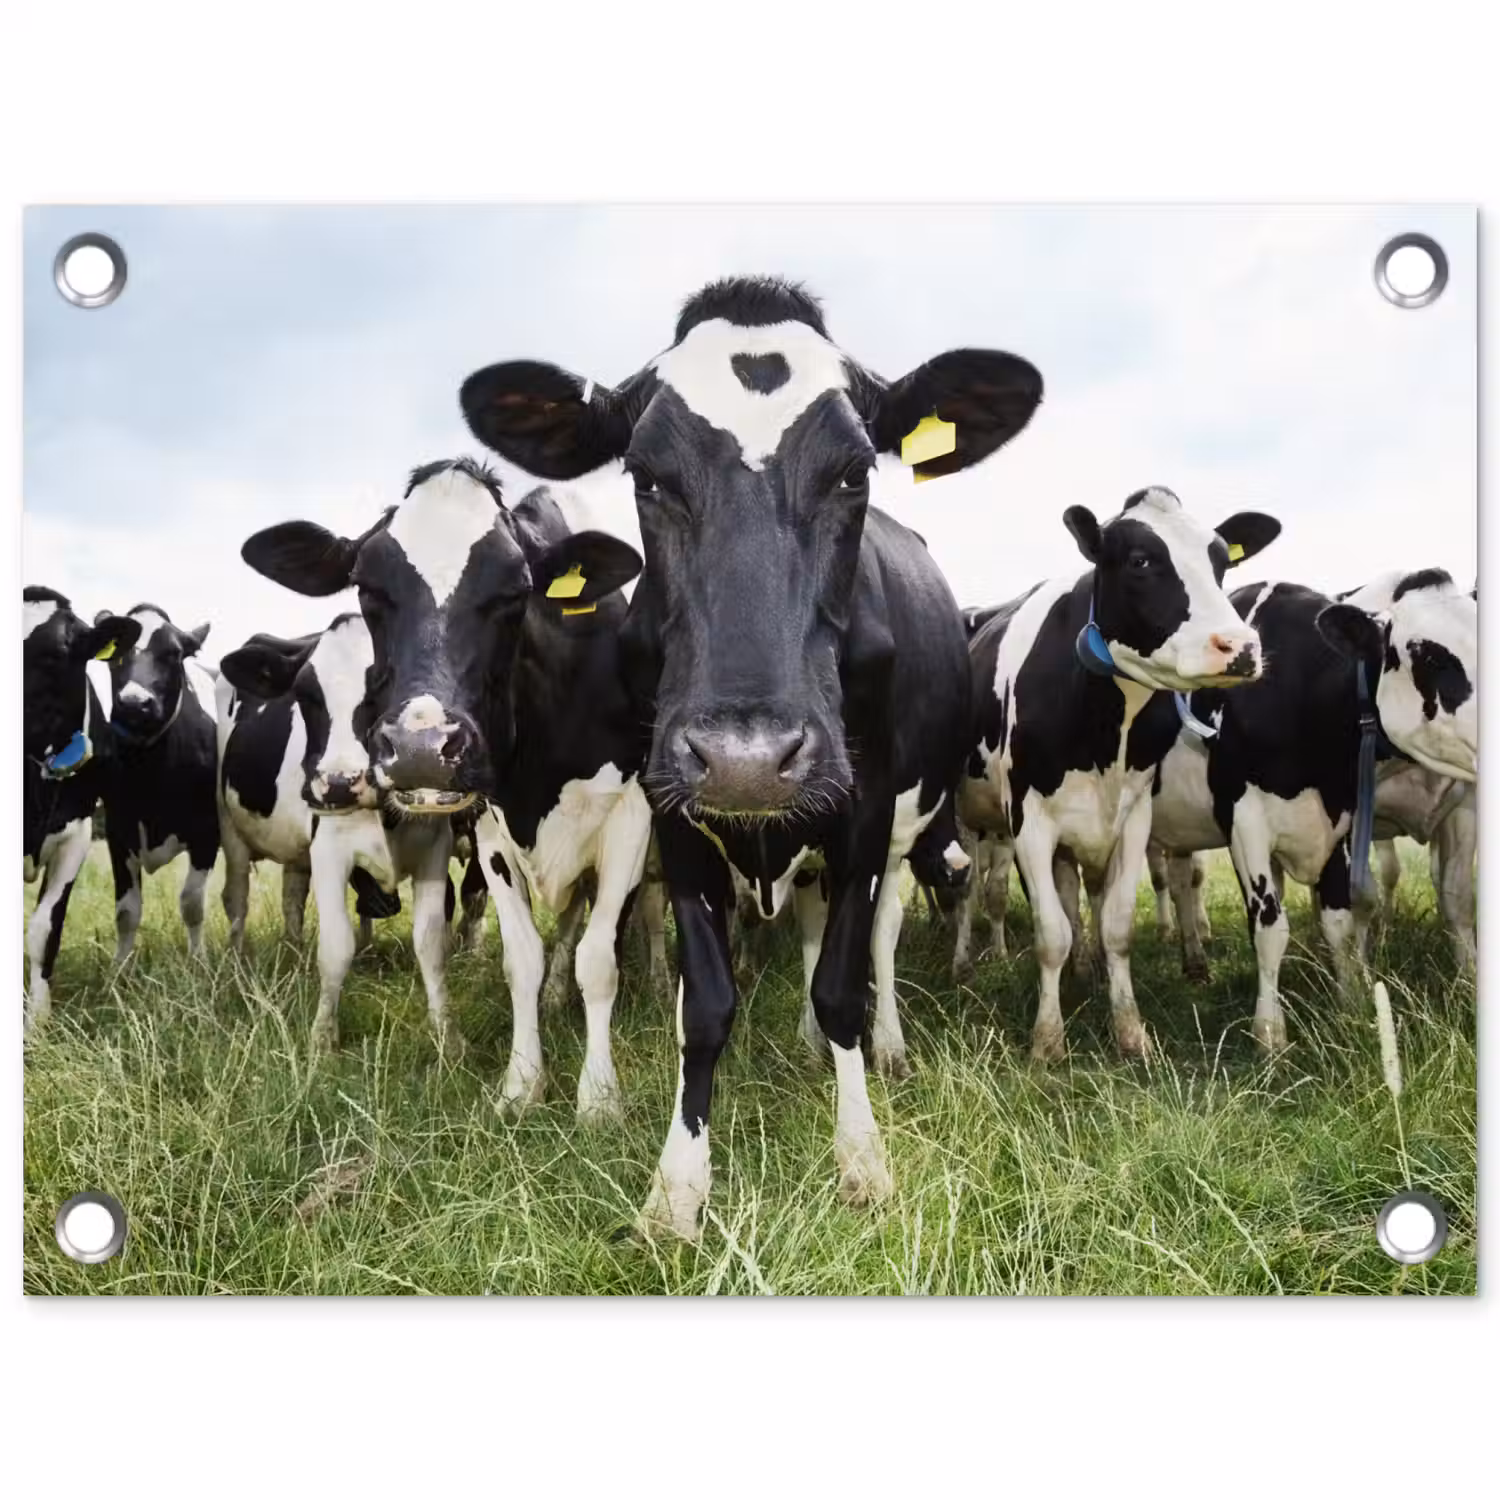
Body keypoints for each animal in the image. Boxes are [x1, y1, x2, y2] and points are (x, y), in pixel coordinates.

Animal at [97, 603, 220, 963]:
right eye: (113, 653)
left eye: (174, 653)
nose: (135, 704)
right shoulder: (117, 831)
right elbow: (126, 911)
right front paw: (120, 967)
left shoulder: (208, 831)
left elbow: (192, 903)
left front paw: (198, 962)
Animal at [216, 611, 467, 1056]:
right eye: (305, 693)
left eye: (385, 683)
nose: (338, 783)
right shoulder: (330, 850)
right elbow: (336, 947)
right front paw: (322, 1039)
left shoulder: (434, 848)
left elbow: (431, 943)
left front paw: (447, 1036)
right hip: (231, 829)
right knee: (237, 899)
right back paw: (239, 966)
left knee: (292, 898)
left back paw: (295, 957)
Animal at [456, 274, 1043, 1238]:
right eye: (646, 475)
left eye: (855, 471)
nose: (747, 759)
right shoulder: (672, 813)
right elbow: (705, 1002)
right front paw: (678, 1187)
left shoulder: (863, 811)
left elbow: (841, 984)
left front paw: (862, 1157)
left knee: (874, 941)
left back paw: (878, 1047)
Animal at [958, 487, 1281, 1063]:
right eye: (1140, 561)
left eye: (1222, 561)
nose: (1240, 646)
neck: (1104, 729)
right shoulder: (1028, 821)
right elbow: (1050, 934)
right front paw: (1047, 1041)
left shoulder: (1132, 818)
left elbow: (1116, 925)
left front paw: (1130, 1031)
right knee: (969, 889)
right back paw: (966, 960)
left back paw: (1084, 970)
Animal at [1151, 566, 1476, 1050]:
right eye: (1431, 657)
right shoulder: (1243, 819)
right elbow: (1270, 928)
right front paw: (1270, 1035)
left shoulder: (1347, 819)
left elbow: (1346, 916)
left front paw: (1353, 1003)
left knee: (1181, 879)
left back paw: (1195, 963)